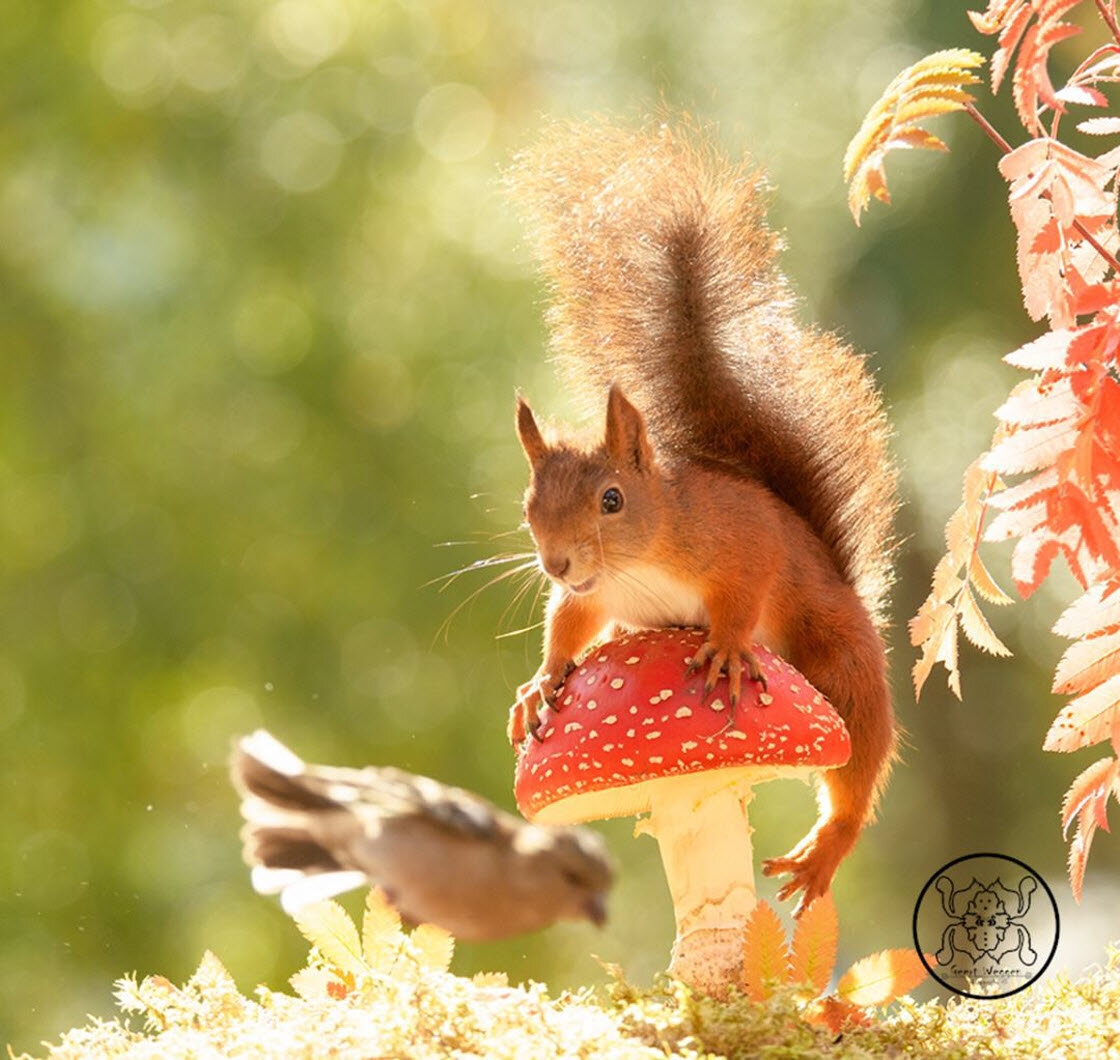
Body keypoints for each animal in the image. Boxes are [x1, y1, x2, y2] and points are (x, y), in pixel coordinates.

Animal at [504, 115, 896, 909]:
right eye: (529, 508)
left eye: (612, 500)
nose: (556, 562)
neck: (643, 554)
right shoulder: (592, 595)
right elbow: (569, 623)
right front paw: (539, 684)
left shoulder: (736, 539)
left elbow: (744, 589)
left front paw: (724, 646)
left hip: (838, 660)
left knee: (856, 770)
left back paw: (825, 847)